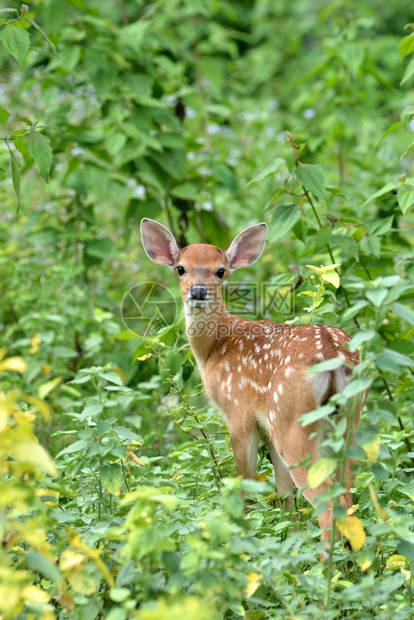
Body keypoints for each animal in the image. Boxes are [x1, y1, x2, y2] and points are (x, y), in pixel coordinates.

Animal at [140, 219, 366, 548]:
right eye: (181, 268)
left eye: (220, 271)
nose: (198, 291)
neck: (215, 348)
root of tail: (333, 352)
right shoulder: (267, 425)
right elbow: (284, 496)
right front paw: (286, 539)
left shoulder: (239, 412)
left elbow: (243, 487)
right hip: (348, 419)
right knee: (348, 498)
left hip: (292, 420)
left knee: (328, 505)